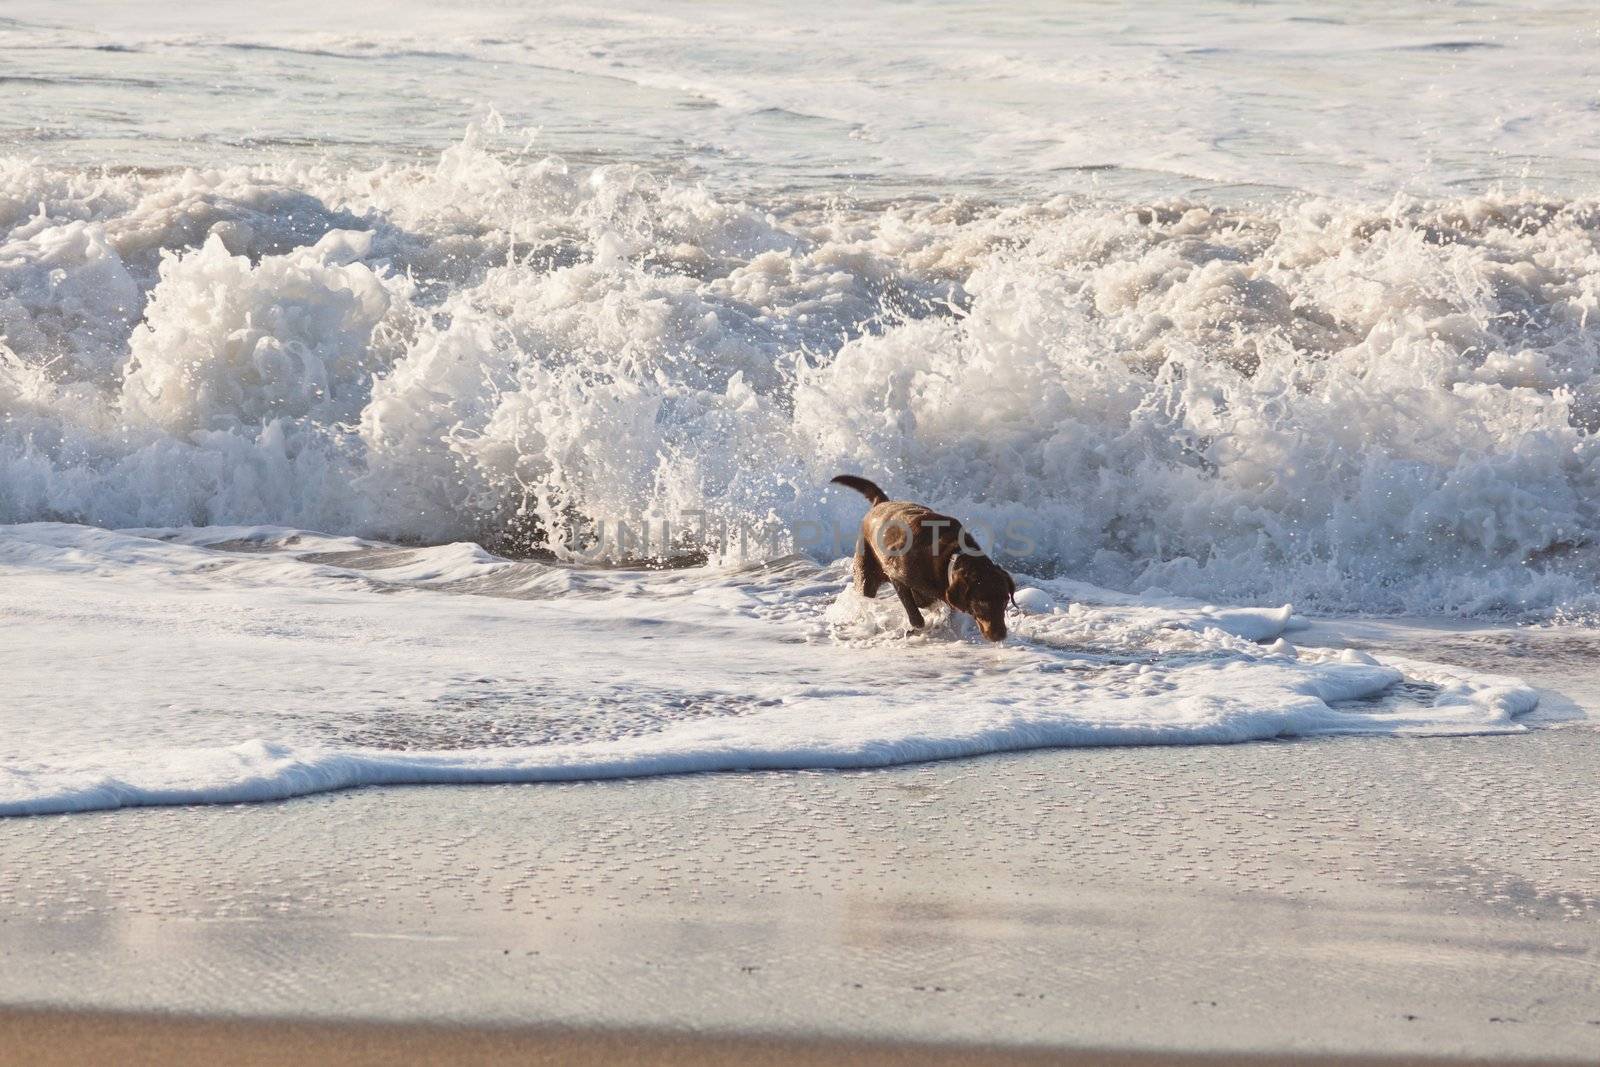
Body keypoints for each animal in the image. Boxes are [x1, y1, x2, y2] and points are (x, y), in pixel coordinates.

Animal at [832, 476, 1017, 643]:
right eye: (981, 602)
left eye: (1005, 599)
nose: (1001, 635)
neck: (950, 556)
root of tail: (881, 502)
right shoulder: (897, 574)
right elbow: (914, 610)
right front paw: (916, 626)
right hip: (866, 572)